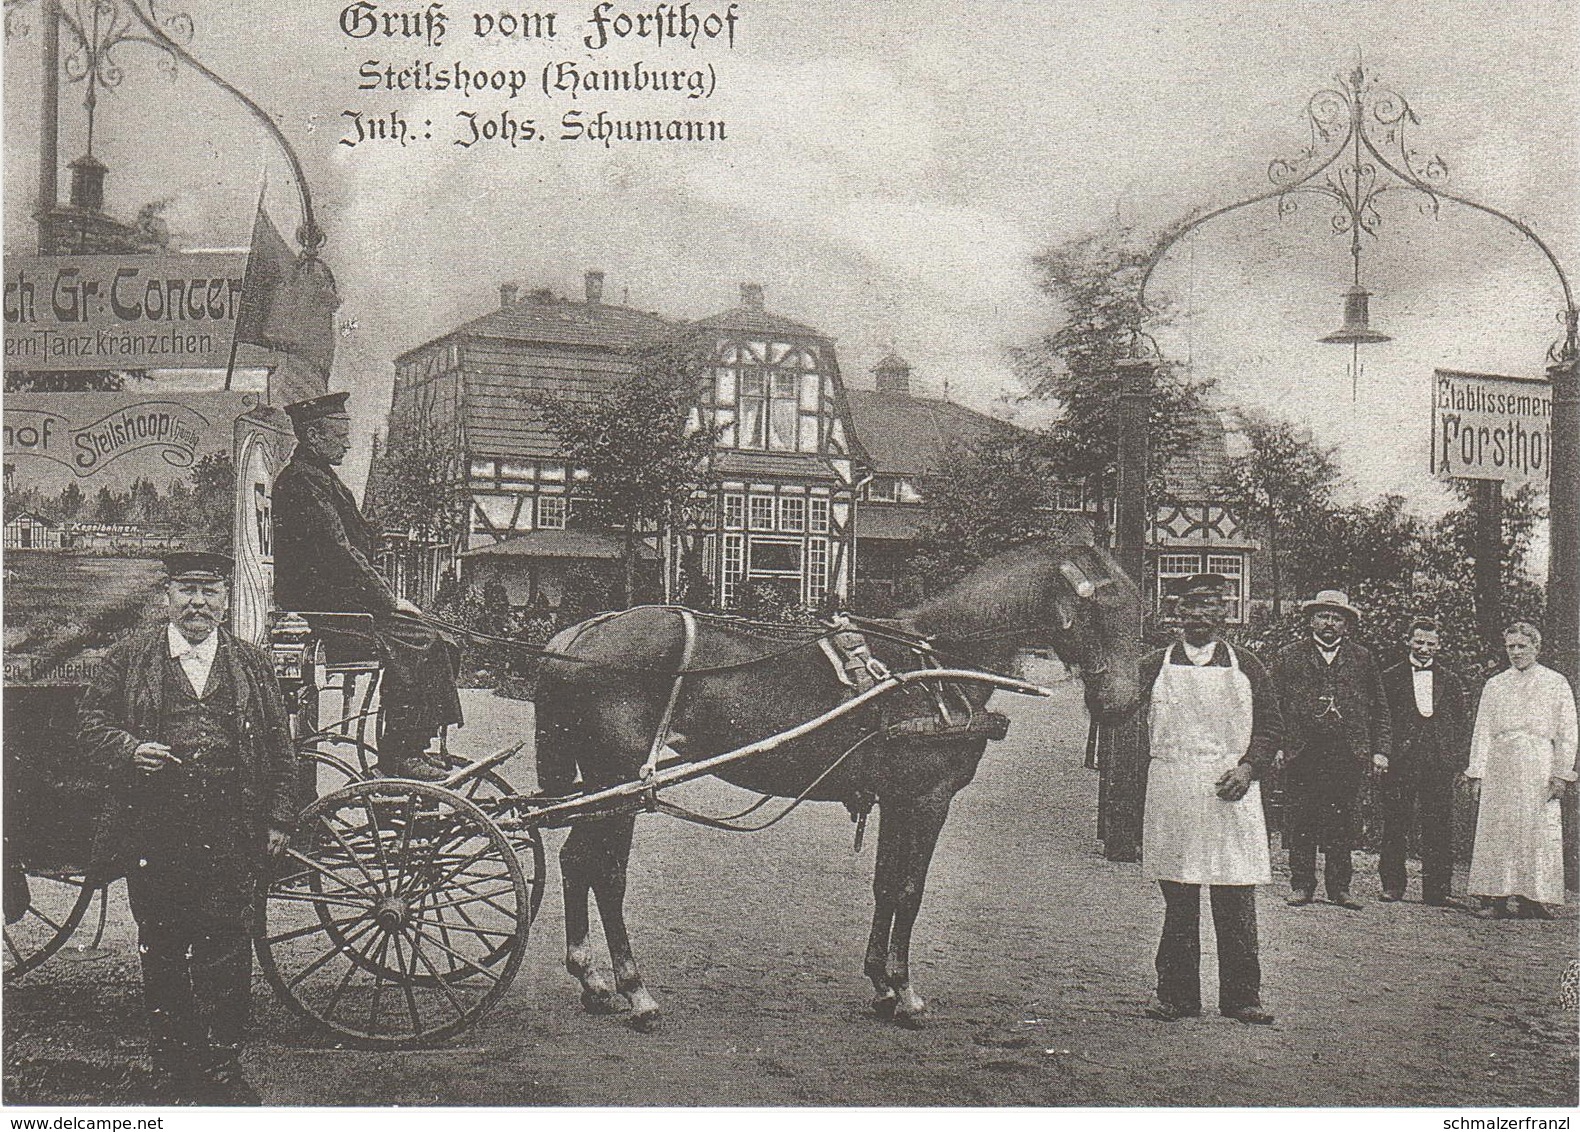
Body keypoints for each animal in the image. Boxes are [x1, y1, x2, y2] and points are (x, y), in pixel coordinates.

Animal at [530, 543, 1137, 1030]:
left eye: (1139, 613)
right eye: (1103, 612)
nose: (1123, 704)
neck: (935, 665)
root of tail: (580, 634)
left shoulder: (896, 799)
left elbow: (886, 886)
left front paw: (882, 985)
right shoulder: (928, 799)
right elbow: (910, 891)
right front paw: (906, 994)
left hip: (601, 788)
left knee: (574, 862)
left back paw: (592, 982)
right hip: (621, 786)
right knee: (607, 875)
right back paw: (637, 992)